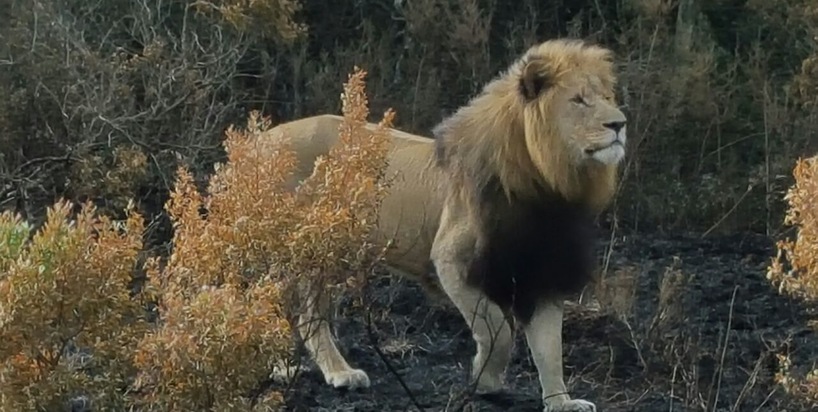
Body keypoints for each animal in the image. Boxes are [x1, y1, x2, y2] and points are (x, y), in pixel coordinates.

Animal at [262, 38, 624, 412]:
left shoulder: (543, 272)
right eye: (579, 100)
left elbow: (550, 350)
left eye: (607, 98)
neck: (550, 186)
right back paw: (321, 371)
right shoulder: (453, 261)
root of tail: (262, 137)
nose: (620, 124)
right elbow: (497, 330)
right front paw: (486, 380)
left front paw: (561, 402)